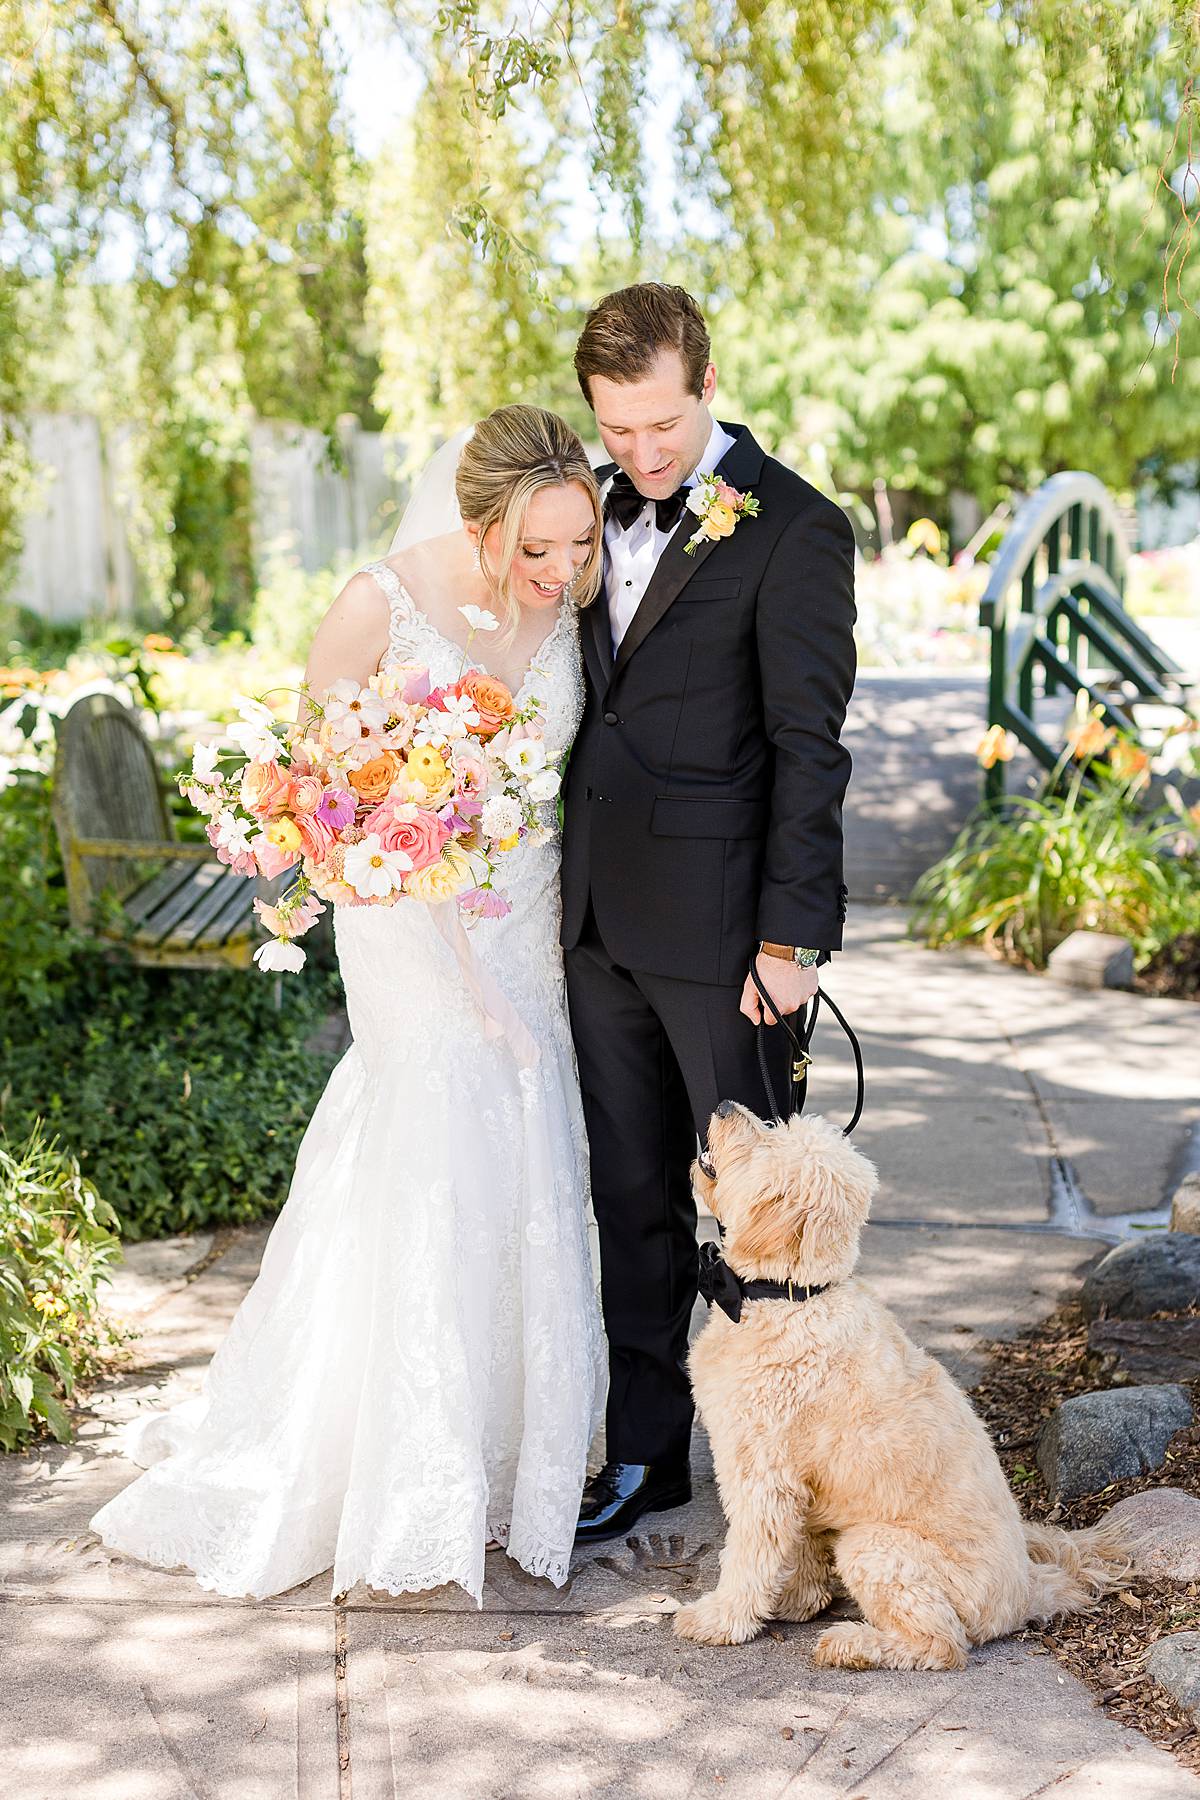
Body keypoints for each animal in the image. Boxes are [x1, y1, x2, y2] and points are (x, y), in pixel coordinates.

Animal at [676, 1094, 1137, 1670]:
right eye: (775, 1123)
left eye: (766, 1140)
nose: (724, 1103)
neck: (790, 1297)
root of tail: (1028, 1590)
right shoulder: (797, 1481)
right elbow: (798, 1544)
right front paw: (798, 1600)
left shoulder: (763, 1472)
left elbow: (749, 1552)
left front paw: (721, 1619)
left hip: (874, 1546)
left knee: (941, 1645)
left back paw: (854, 1644)